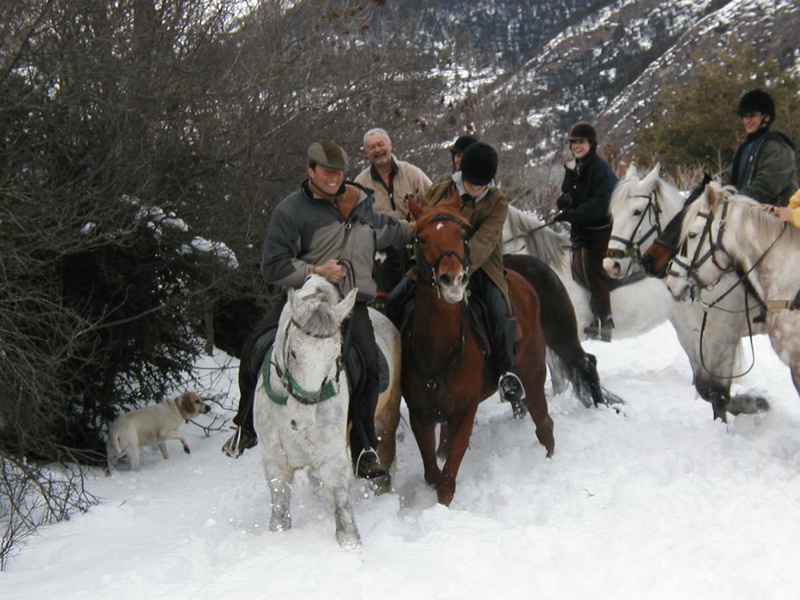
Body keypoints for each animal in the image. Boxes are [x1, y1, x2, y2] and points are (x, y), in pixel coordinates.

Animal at [253, 276, 400, 548]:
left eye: (335, 356)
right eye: (293, 353)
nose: (301, 421)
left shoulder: (333, 457)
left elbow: (343, 513)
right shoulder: (275, 462)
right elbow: (279, 514)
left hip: (387, 419)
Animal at [404, 196, 552, 506]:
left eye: (463, 236)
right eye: (422, 239)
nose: (452, 280)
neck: (437, 350)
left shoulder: (463, 415)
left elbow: (446, 482)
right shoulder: (420, 416)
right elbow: (432, 473)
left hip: (532, 379)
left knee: (545, 425)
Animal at [608, 162, 768, 420]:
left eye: (637, 212)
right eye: (613, 214)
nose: (611, 264)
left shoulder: (721, 337)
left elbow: (718, 393)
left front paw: (751, 405)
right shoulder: (691, 335)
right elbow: (706, 390)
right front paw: (749, 404)